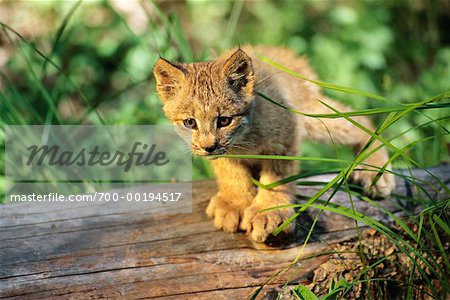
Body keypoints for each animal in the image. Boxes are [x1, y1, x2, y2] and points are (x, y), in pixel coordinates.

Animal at [152, 47, 394, 244]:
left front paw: (269, 211)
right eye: (190, 123)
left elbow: (278, 176)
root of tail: (278, 51)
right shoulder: (223, 152)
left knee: (360, 119)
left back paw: (375, 172)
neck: (243, 139)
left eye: (224, 121)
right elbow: (231, 170)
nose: (208, 147)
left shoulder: (286, 134)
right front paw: (235, 202)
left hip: (314, 118)